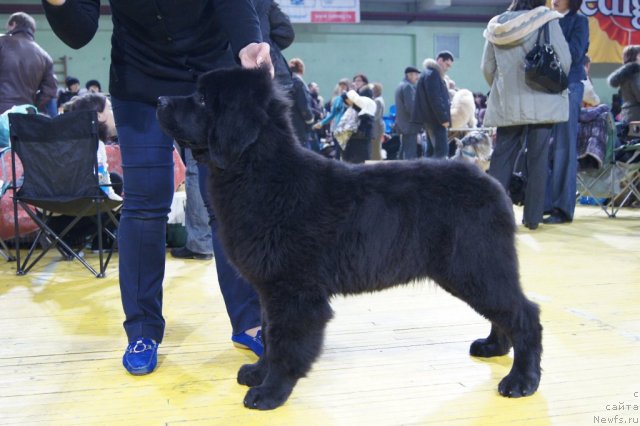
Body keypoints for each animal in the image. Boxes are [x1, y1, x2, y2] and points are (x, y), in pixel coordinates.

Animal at [155, 68, 540, 412]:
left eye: (202, 99)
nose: (159, 100)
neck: (259, 174)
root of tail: (494, 185)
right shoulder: (271, 288)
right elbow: (266, 332)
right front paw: (258, 373)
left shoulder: (294, 291)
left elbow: (283, 342)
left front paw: (270, 392)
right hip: (475, 269)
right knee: (505, 312)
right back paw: (493, 347)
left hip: (475, 265)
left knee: (524, 314)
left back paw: (521, 380)